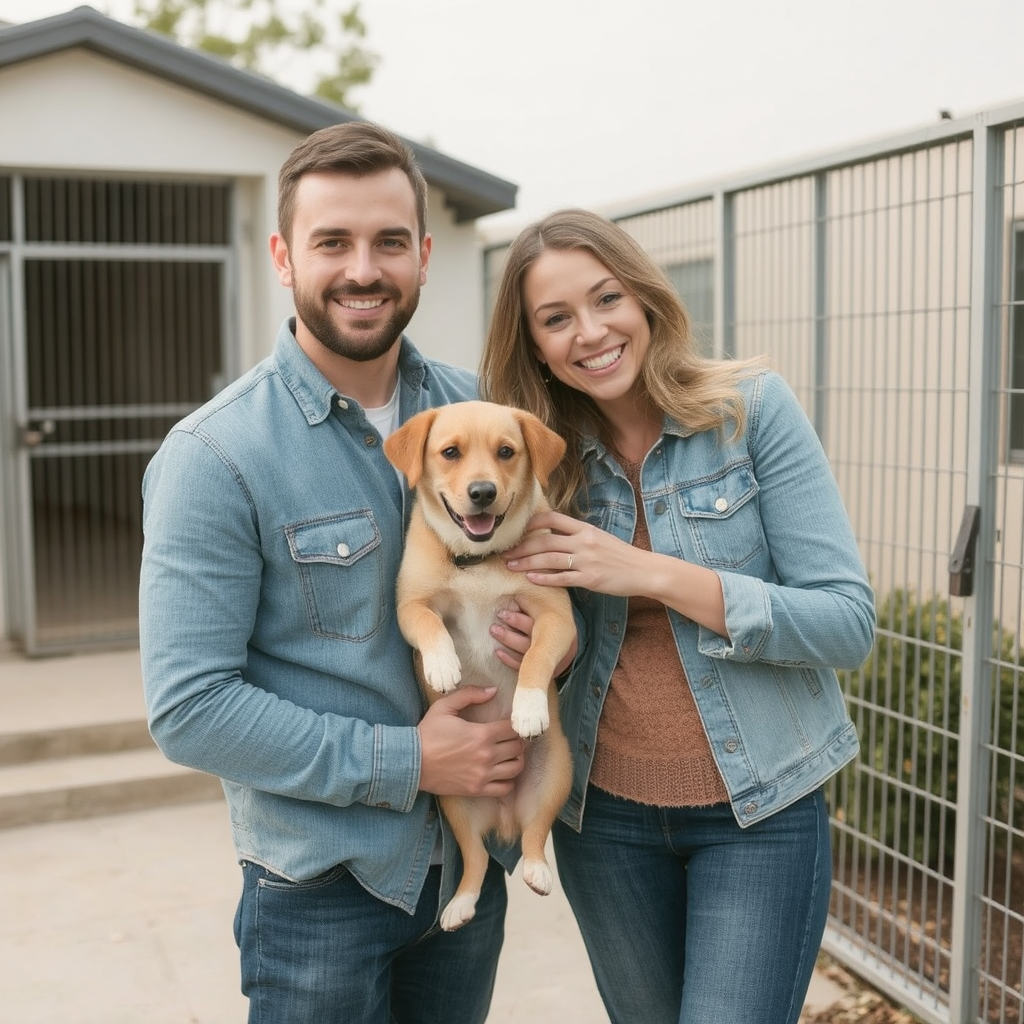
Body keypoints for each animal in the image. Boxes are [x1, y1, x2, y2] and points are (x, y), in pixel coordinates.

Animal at [385, 403, 577, 933]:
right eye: (450, 452)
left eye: (506, 452)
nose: (482, 492)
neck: (479, 561)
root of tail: (504, 814)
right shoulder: (410, 606)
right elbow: (431, 624)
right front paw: (443, 666)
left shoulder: (556, 618)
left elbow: (536, 656)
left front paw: (528, 708)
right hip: (455, 803)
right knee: (474, 860)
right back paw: (460, 904)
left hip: (556, 776)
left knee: (534, 838)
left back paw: (536, 870)